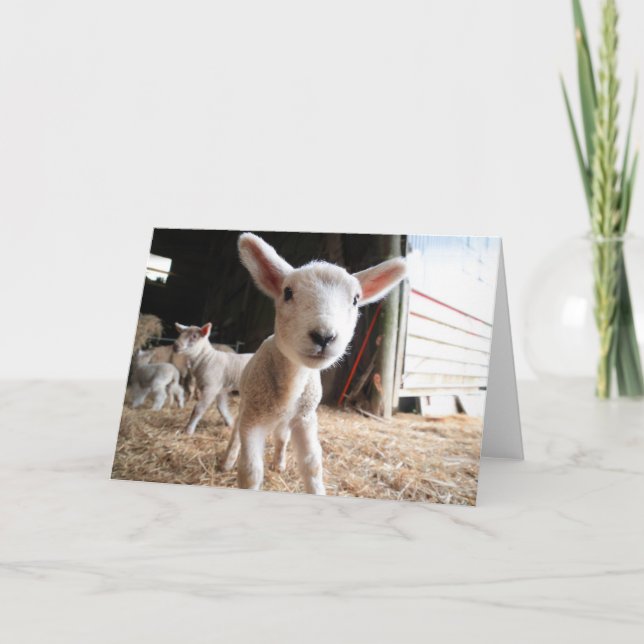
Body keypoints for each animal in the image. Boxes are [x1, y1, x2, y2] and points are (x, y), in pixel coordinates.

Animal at [221, 233, 406, 494]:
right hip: (247, 404)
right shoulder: (253, 419)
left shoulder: (306, 418)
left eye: (355, 300)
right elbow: (250, 471)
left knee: (281, 438)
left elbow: (312, 465)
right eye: (287, 292)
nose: (324, 336)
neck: (292, 384)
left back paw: (279, 463)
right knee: (236, 432)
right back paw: (227, 460)